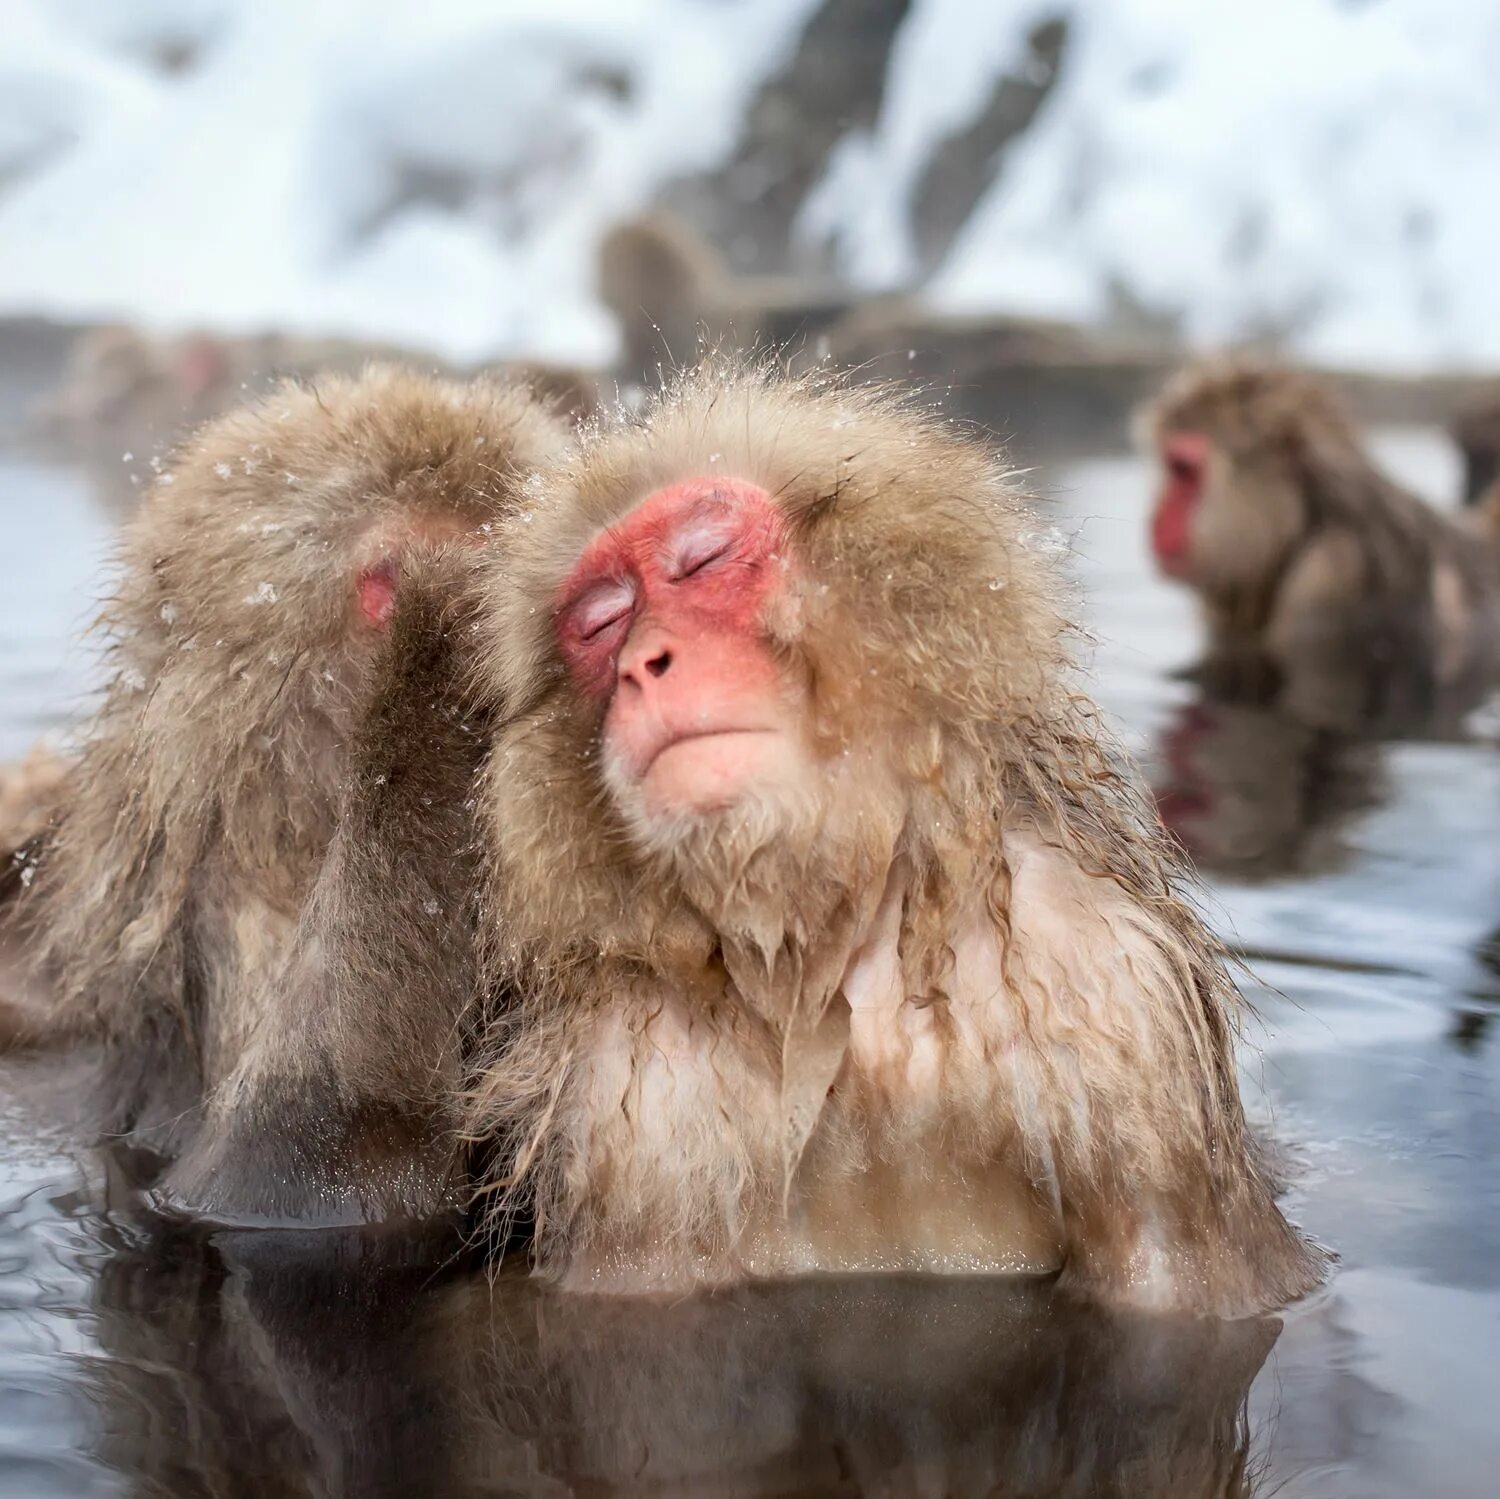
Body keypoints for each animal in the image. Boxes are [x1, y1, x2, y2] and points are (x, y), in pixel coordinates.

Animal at [468, 363, 1326, 1314]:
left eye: (702, 561)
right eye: (602, 622)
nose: (641, 665)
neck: (834, 958)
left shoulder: (1118, 1002)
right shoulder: (626, 1091)